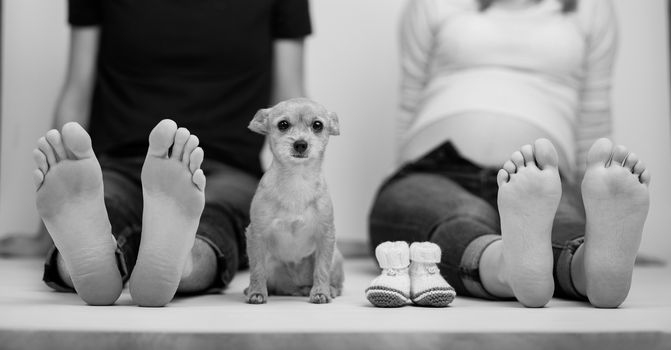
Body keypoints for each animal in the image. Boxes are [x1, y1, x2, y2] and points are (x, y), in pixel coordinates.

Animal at [244, 98, 344, 304]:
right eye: (283, 124)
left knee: (335, 281)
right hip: (272, 262)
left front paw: (320, 292)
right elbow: (256, 269)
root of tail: (295, 287)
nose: (300, 144)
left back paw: (329, 289)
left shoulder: (326, 235)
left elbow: (322, 269)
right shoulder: (256, 234)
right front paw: (257, 292)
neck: (297, 180)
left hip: (336, 257)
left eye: (317, 125)